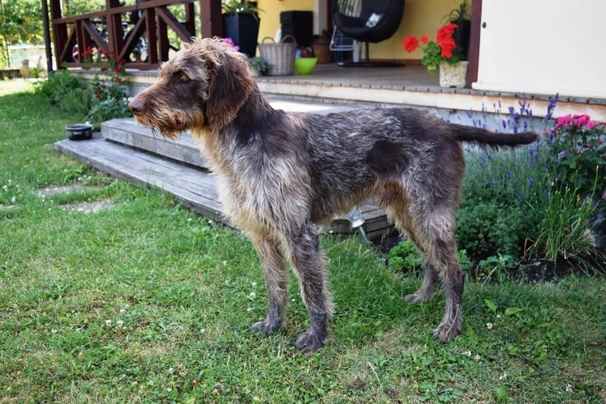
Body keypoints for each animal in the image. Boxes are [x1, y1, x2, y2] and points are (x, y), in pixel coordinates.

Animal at [129, 36, 540, 350]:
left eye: (183, 77)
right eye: (163, 73)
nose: (132, 106)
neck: (243, 143)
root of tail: (445, 124)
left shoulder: (300, 234)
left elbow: (312, 293)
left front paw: (316, 337)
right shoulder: (263, 235)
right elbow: (276, 288)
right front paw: (273, 325)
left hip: (430, 213)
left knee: (455, 273)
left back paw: (449, 326)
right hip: (407, 214)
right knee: (430, 262)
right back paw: (424, 297)